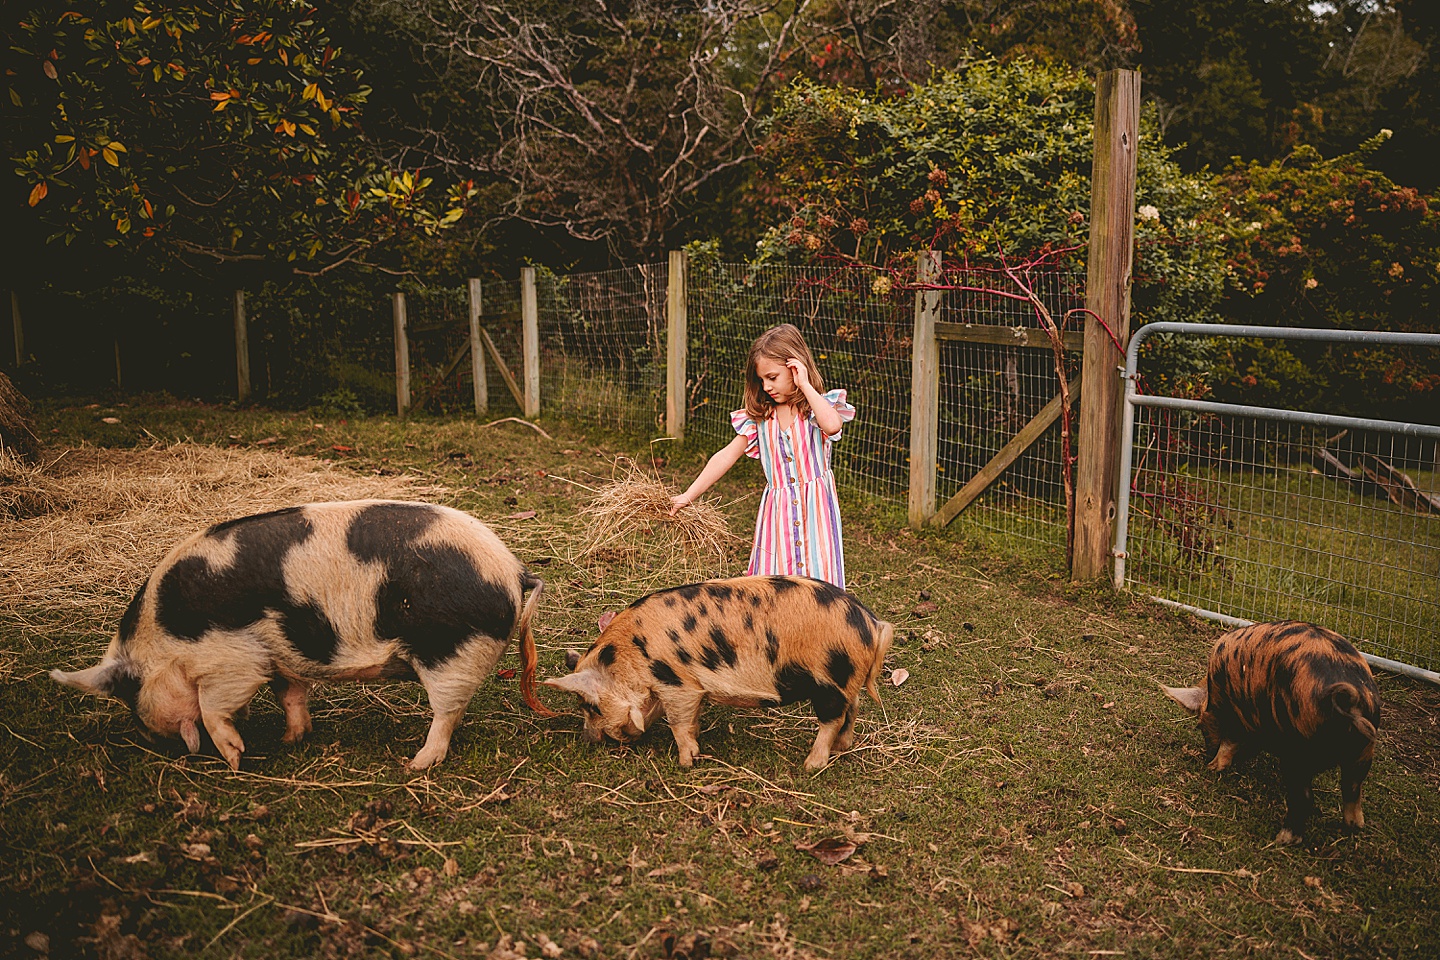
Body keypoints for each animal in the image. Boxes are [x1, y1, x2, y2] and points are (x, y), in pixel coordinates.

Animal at [50, 500, 550, 771]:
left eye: (130, 691)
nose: (155, 739)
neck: (165, 641)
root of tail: (513, 570)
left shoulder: (230, 662)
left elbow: (212, 709)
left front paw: (235, 758)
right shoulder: (279, 659)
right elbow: (290, 696)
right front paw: (291, 740)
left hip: (451, 653)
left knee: (444, 715)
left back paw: (413, 764)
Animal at [544, 575, 892, 771]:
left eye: (591, 706)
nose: (589, 738)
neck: (632, 655)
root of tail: (872, 623)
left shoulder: (677, 684)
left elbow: (678, 722)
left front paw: (686, 763)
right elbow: (691, 719)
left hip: (830, 681)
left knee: (832, 719)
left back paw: (810, 765)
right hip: (846, 681)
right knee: (853, 709)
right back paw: (842, 747)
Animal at [1157, 624, 1382, 840]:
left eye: (1200, 725)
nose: (1205, 758)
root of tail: (1350, 703)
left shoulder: (1236, 716)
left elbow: (1229, 743)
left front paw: (1212, 767)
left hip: (1298, 753)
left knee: (1305, 797)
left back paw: (1283, 839)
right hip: (1363, 751)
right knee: (1352, 790)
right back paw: (1352, 828)